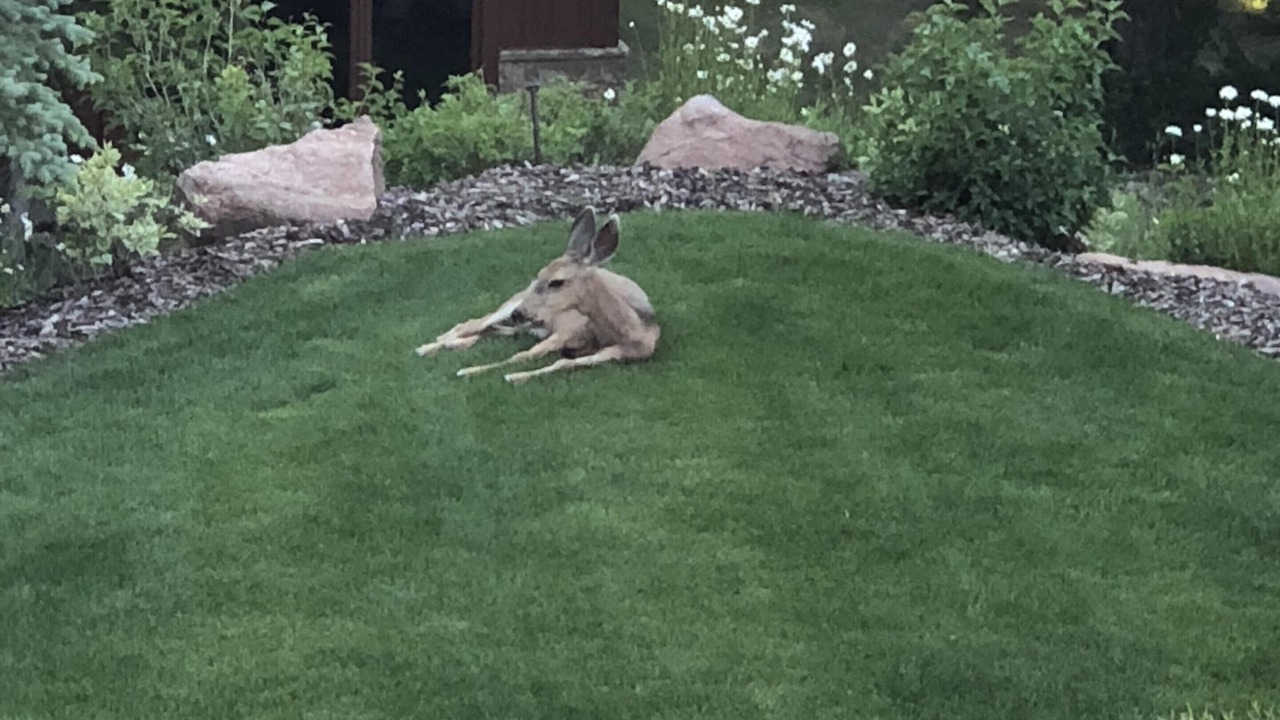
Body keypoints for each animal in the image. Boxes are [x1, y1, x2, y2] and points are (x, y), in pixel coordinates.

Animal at [414, 207, 660, 384]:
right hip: (512, 304)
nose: (519, 312)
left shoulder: (621, 351)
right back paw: (430, 346)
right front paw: (471, 371)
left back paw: (453, 344)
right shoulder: (568, 327)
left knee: (492, 329)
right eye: (539, 276)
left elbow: (563, 363)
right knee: (472, 323)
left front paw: (515, 376)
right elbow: (525, 355)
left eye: (556, 282)